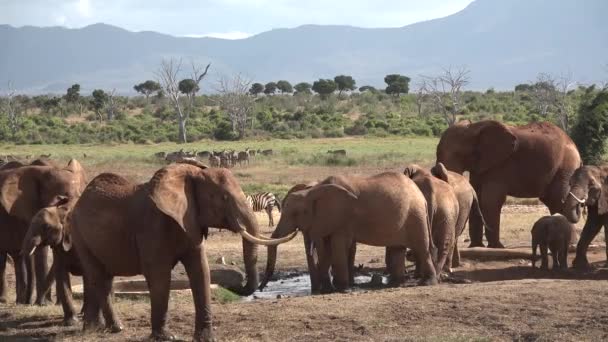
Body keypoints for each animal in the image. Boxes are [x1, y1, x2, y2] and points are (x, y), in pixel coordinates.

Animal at [0, 158, 86, 304]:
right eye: (62, 198)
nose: (31, 302)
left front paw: (51, 303)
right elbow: (41, 250)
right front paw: (44, 303)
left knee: (17, 257)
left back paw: (19, 301)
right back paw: (7, 300)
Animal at [70, 160, 296, 342]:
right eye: (223, 197)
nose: (237, 282)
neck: (190, 175)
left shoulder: (191, 221)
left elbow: (201, 271)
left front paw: (206, 338)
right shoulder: (152, 226)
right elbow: (160, 276)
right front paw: (166, 337)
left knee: (102, 278)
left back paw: (96, 328)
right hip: (79, 234)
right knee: (98, 277)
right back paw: (115, 328)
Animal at [262, 172, 436, 292]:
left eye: (296, 213)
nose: (260, 288)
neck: (314, 191)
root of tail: (421, 196)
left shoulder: (343, 218)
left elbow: (338, 246)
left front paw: (341, 288)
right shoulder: (328, 220)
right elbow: (328, 248)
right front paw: (329, 289)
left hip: (416, 215)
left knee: (422, 248)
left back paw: (427, 282)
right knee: (397, 249)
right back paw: (396, 283)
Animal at [434, 119, 580, 247]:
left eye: (458, 154)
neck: (474, 128)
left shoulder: (499, 166)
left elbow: (490, 201)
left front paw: (496, 247)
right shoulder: (481, 165)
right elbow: (477, 196)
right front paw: (476, 246)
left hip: (566, 166)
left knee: (560, 200)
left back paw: (570, 244)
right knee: (556, 202)